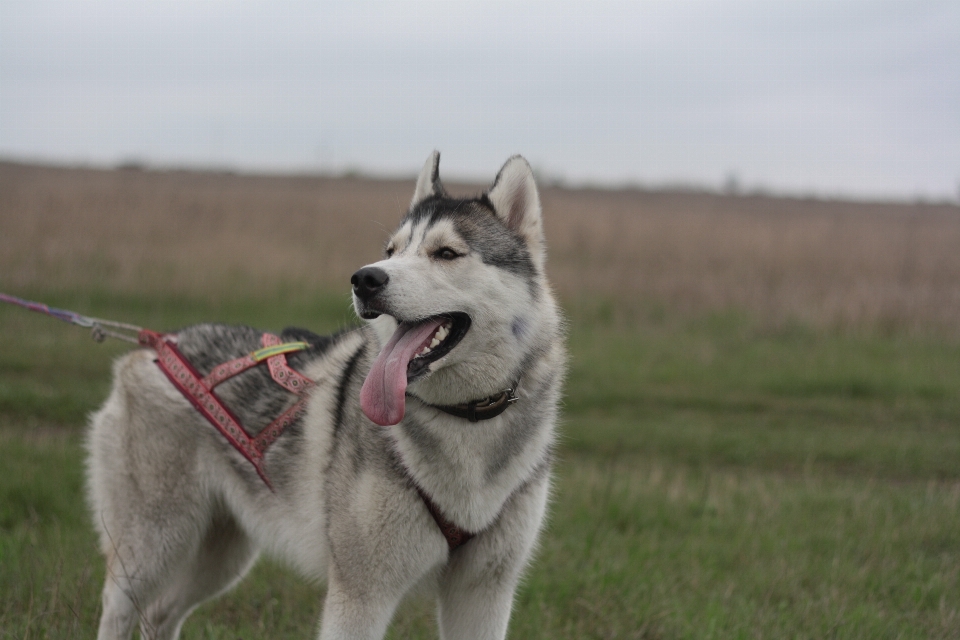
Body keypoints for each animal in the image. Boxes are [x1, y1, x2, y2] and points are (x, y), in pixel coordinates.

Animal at [86, 151, 568, 640]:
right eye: (391, 251)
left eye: (446, 253)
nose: (365, 278)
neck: (464, 418)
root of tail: (154, 346)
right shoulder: (361, 594)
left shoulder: (484, 593)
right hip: (152, 547)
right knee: (120, 610)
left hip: (222, 554)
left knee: (160, 612)